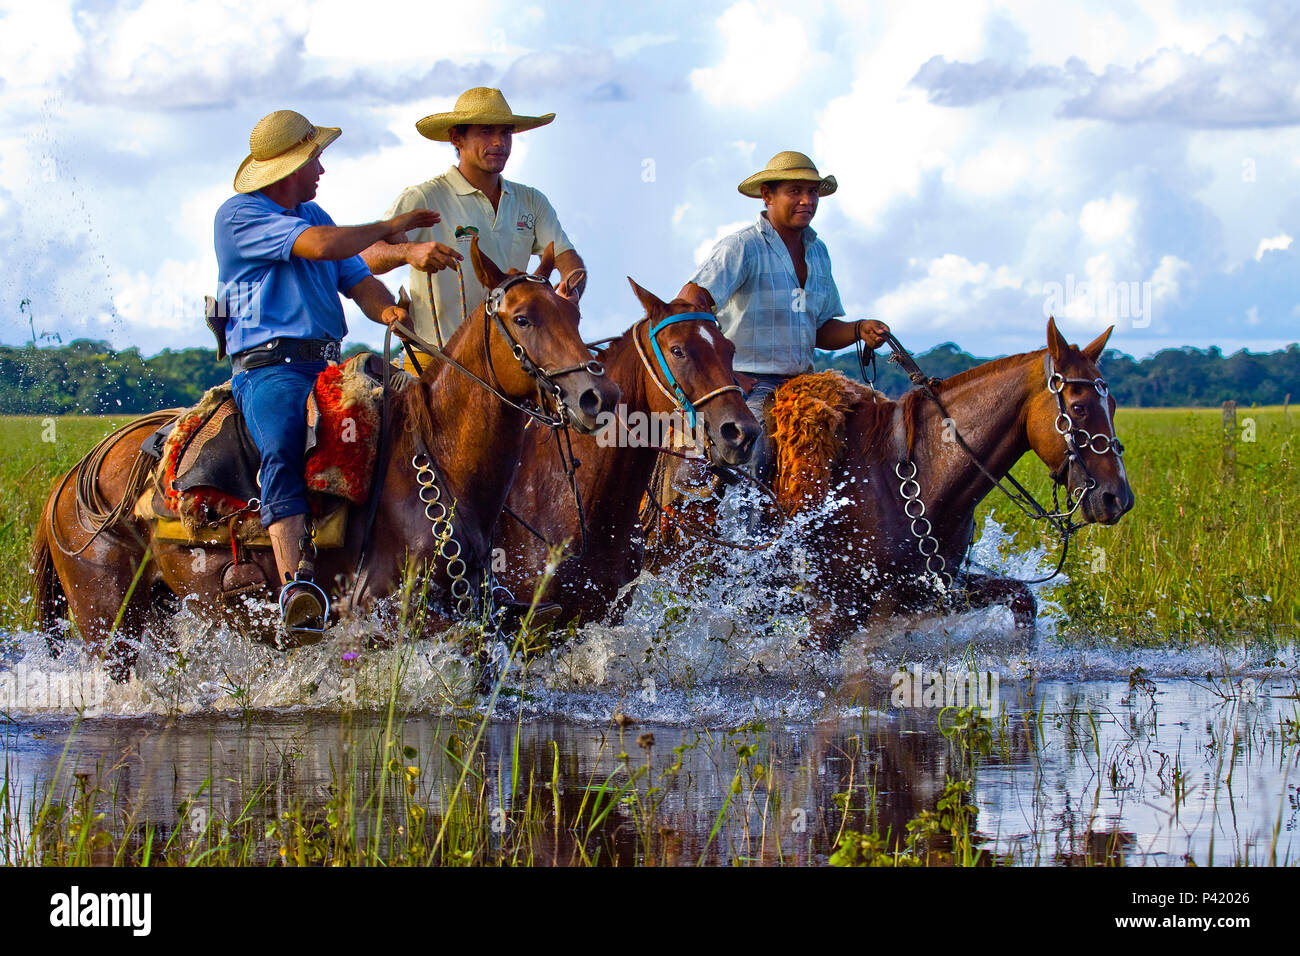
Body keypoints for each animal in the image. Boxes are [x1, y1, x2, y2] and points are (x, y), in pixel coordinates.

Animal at [29, 239, 618, 671]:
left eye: (573, 314)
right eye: (522, 318)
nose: (598, 396)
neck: (439, 458)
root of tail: (76, 475)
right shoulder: (378, 616)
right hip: (108, 624)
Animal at [655, 317, 1133, 647]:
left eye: (1111, 403)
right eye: (1079, 406)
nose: (1117, 498)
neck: (922, 473)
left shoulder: (933, 590)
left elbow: (1022, 600)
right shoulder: (832, 613)